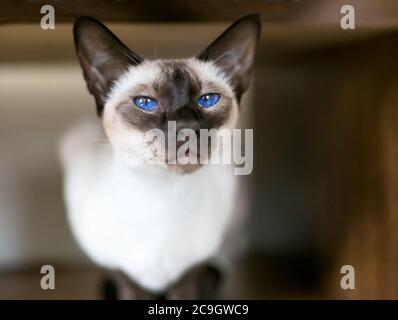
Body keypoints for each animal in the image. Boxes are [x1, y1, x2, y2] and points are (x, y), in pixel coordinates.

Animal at [57, 13, 260, 298]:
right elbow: (128, 287)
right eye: (146, 103)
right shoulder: (117, 268)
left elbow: (187, 288)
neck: (164, 194)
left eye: (208, 100)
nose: (187, 128)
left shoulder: (190, 271)